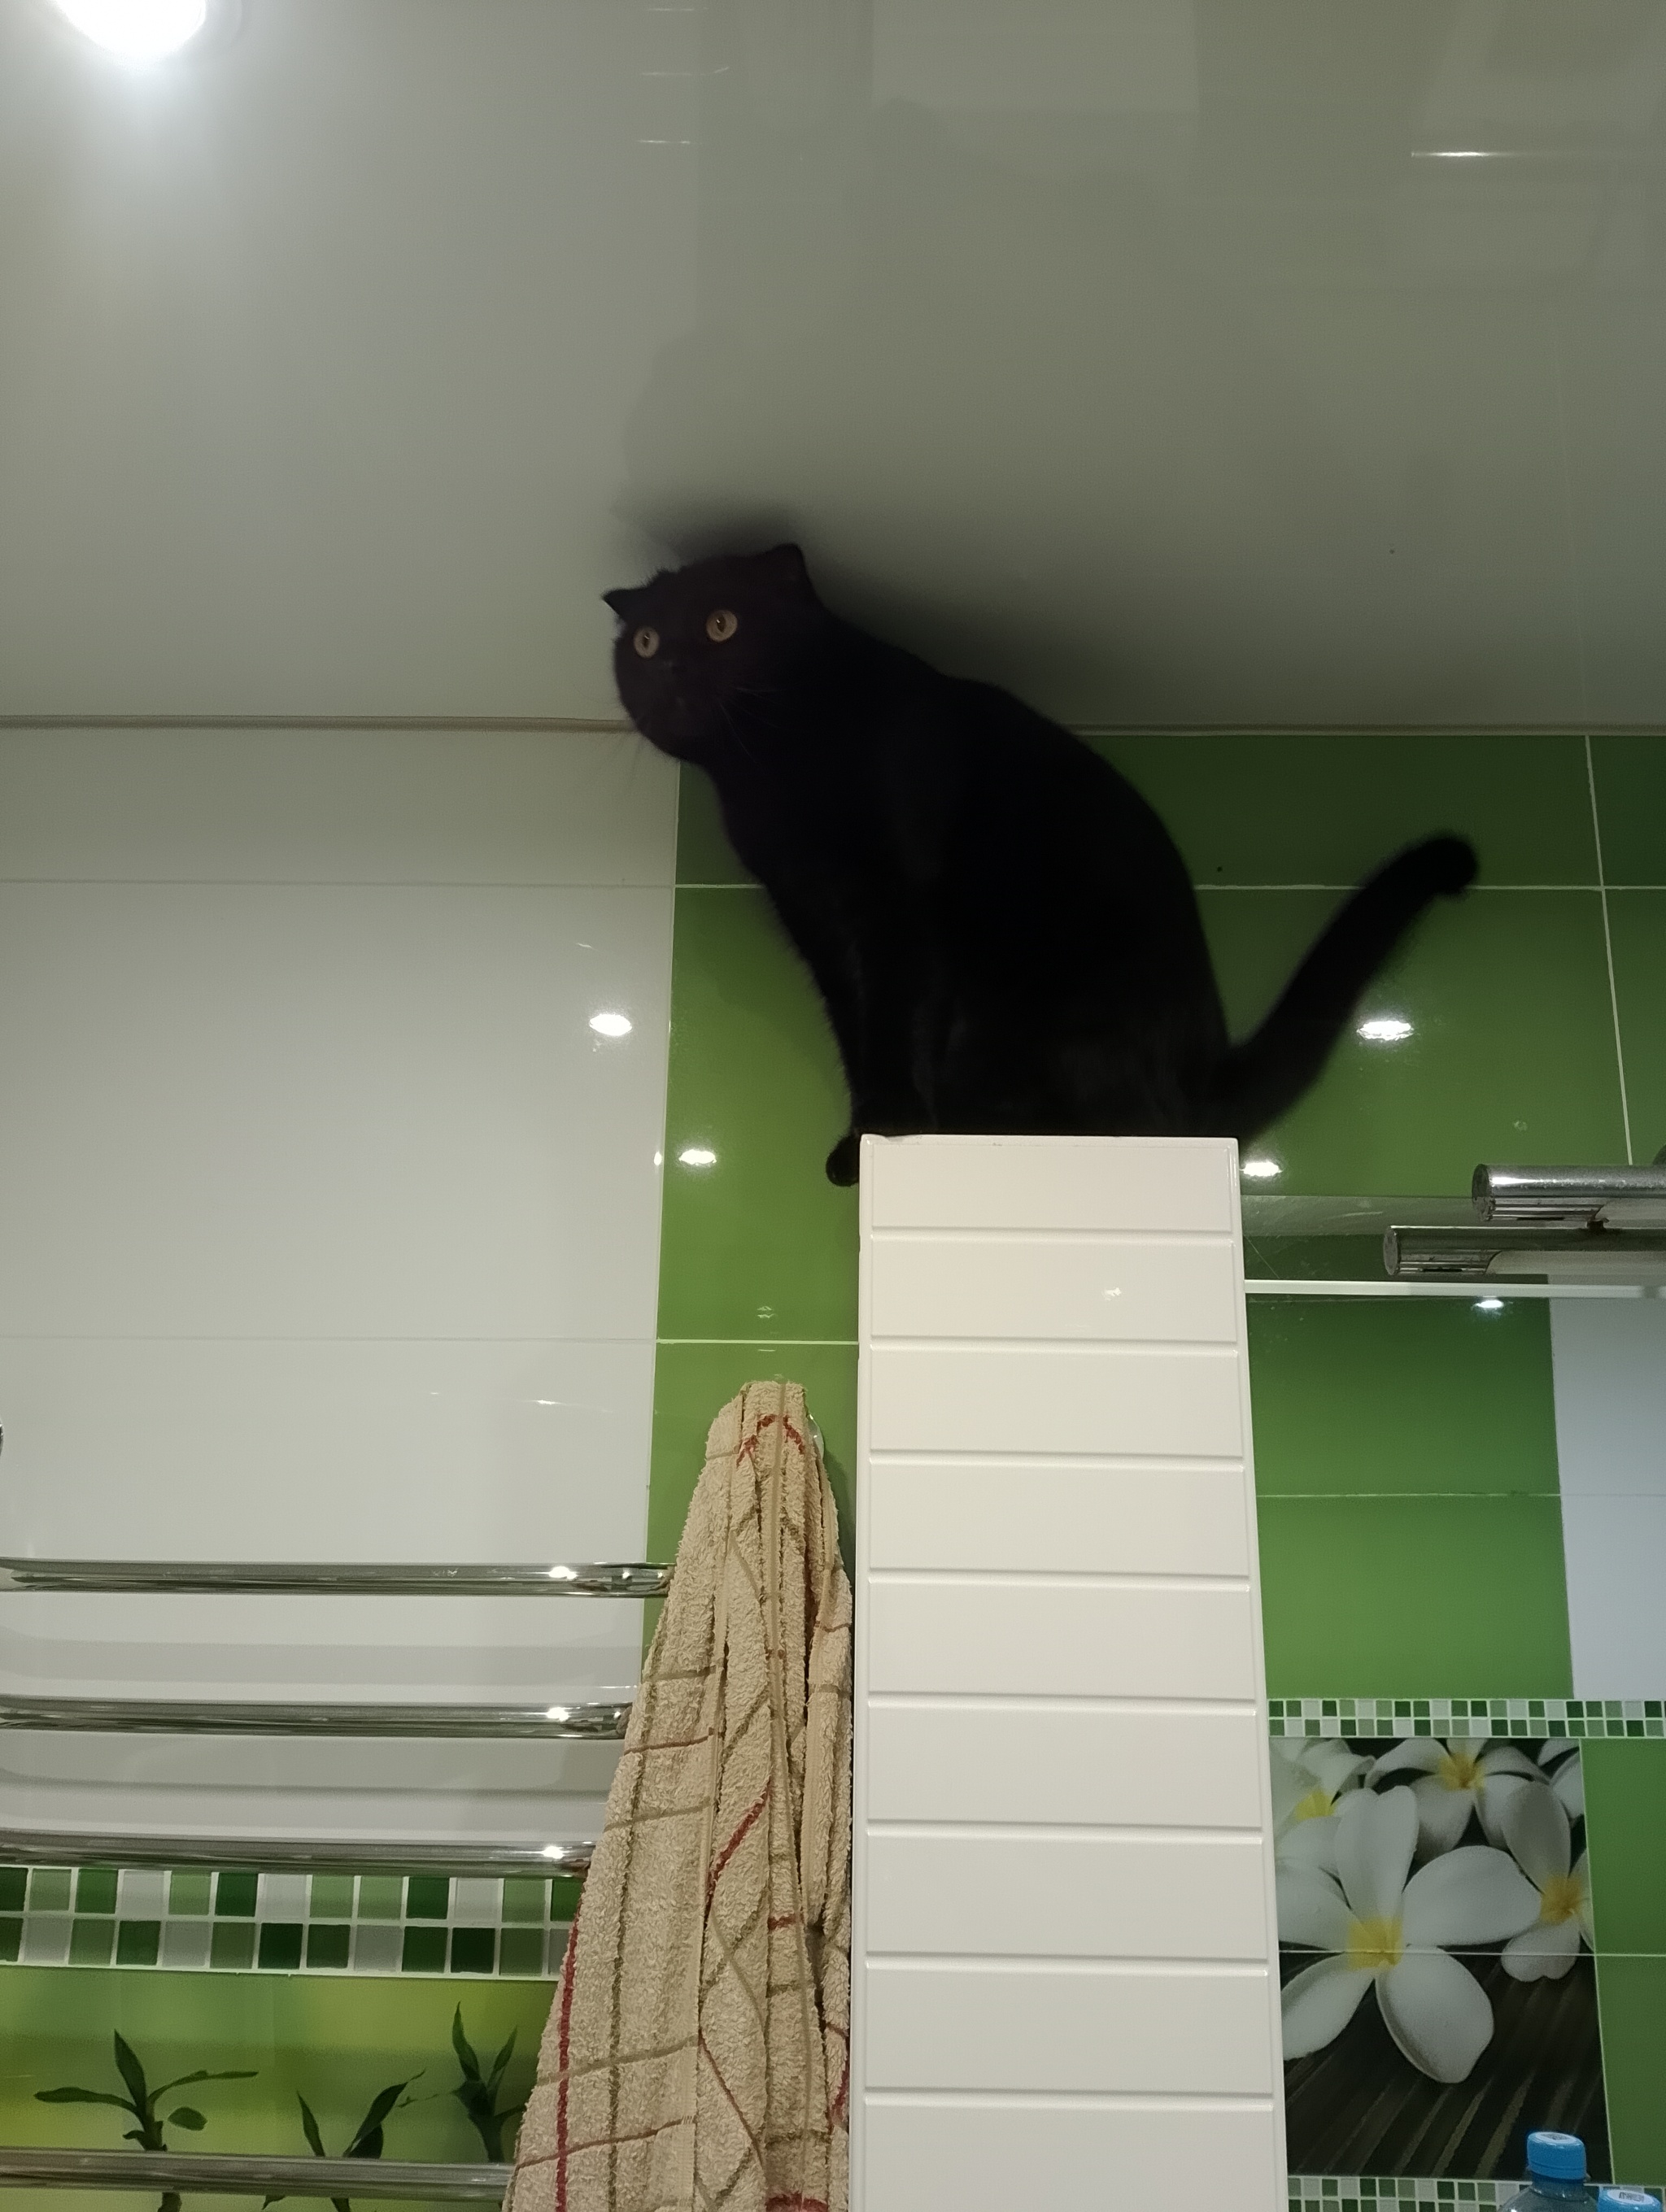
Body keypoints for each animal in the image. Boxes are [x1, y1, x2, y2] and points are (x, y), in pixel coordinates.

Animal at [605, 544, 1478, 1186]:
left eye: (721, 624)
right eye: (644, 642)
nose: (670, 665)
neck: (770, 777)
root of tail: (1202, 1084)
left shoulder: (897, 905)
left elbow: (893, 1018)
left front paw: (889, 1126)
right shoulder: (812, 919)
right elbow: (854, 1029)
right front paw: (863, 1138)